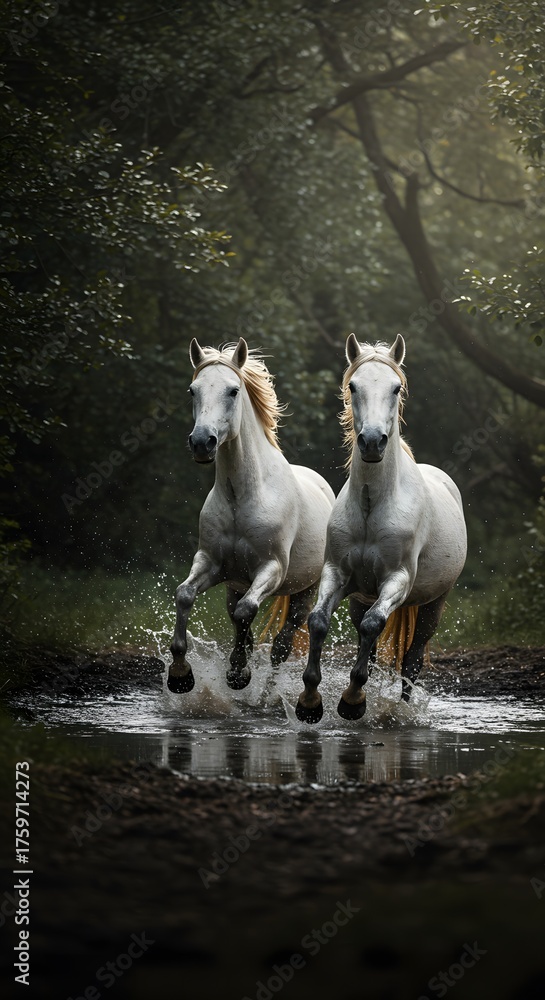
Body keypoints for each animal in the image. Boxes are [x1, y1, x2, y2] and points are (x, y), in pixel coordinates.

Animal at [168, 337, 335, 694]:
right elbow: (185, 595)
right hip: (234, 585)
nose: (202, 442)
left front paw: (238, 673)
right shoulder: (211, 563)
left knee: (280, 645)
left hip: (305, 592)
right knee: (238, 618)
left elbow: (248, 612)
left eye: (233, 391)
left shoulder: (271, 568)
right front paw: (180, 674)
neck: (241, 498)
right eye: (192, 390)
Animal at [295, 333, 467, 724]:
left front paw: (352, 701)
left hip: (433, 604)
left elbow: (375, 626)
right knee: (370, 648)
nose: (372, 442)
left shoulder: (397, 579)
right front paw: (310, 701)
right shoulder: (338, 574)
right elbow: (319, 622)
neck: (372, 507)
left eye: (396, 387)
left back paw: (400, 709)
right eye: (353, 386)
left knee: (412, 659)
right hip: (361, 599)